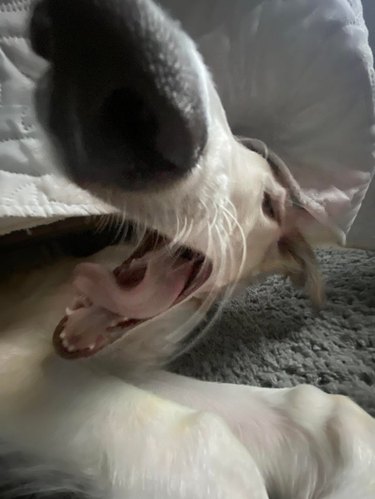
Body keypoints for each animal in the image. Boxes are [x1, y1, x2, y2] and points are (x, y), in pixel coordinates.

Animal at [0, 0, 375, 498]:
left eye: (271, 205)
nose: (107, 44)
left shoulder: (100, 370)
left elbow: (327, 408)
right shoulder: (23, 363)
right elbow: (211, 441)